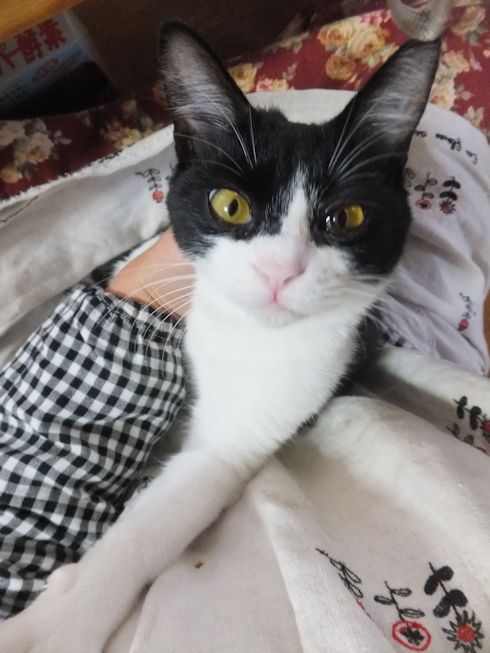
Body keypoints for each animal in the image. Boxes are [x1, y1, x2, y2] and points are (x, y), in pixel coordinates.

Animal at [0, 22, 440, 653]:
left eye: (347, 217)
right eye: (230, 205)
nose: (280, 271)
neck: (245, 338)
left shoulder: (277, 404)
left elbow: (163, 514)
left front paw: (51, 628)